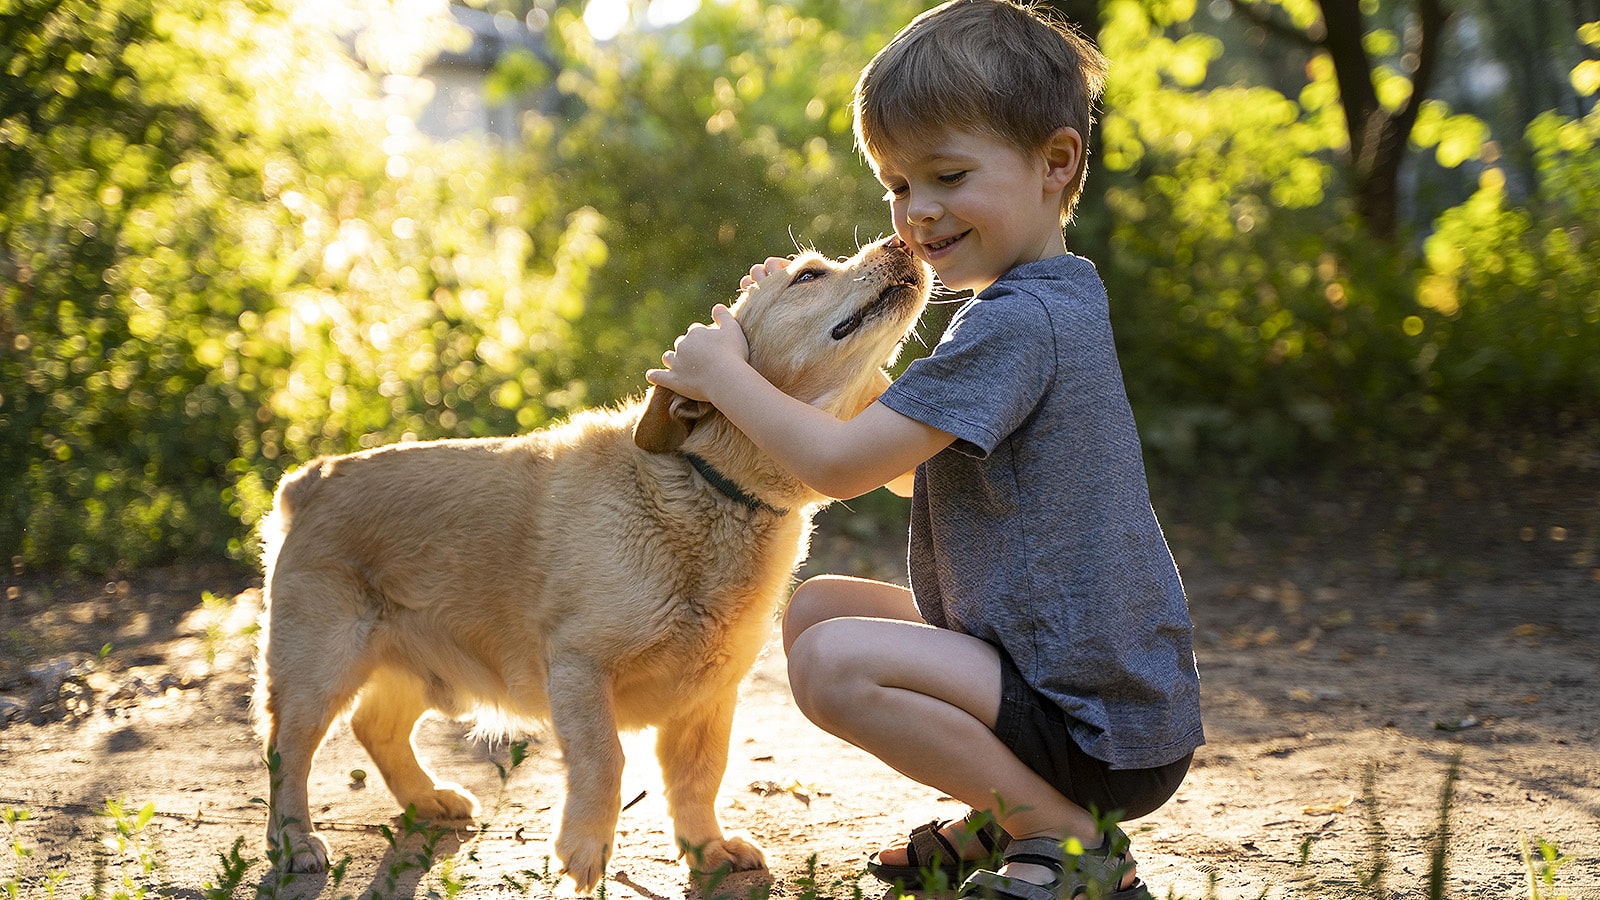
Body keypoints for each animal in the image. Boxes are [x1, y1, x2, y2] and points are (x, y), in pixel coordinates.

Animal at [254, 235, 934, 883]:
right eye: (809, 275)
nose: (905, 242)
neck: (709, 489)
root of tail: (311, 477)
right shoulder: (580, 668)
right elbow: (606, 761)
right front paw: (583, 850)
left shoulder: (710, 695)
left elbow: (699, 778)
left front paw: (706, 849)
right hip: (318, 670)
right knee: (287, 753)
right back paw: (294, 843)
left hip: (422, 668)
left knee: (377, 728)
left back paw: (427, 799)